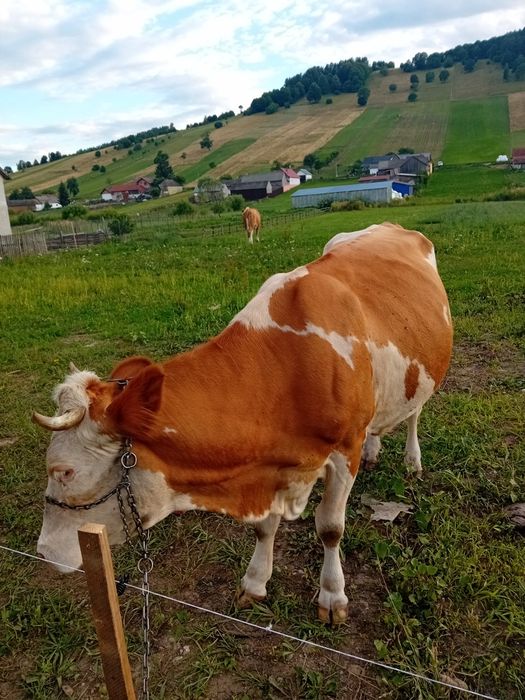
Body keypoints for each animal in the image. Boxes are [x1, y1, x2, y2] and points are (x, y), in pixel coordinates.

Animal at [34, 222, 452, 623]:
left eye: (65, 471)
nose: (44, 551)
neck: (285, 368)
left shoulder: (343, 448)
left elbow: (330, 528)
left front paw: (332, 596)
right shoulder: (269, 464)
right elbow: (265, 527)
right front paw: (254, 583)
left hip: (425, 371)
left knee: (414, 414)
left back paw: (412, 461)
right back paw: (374, 449)